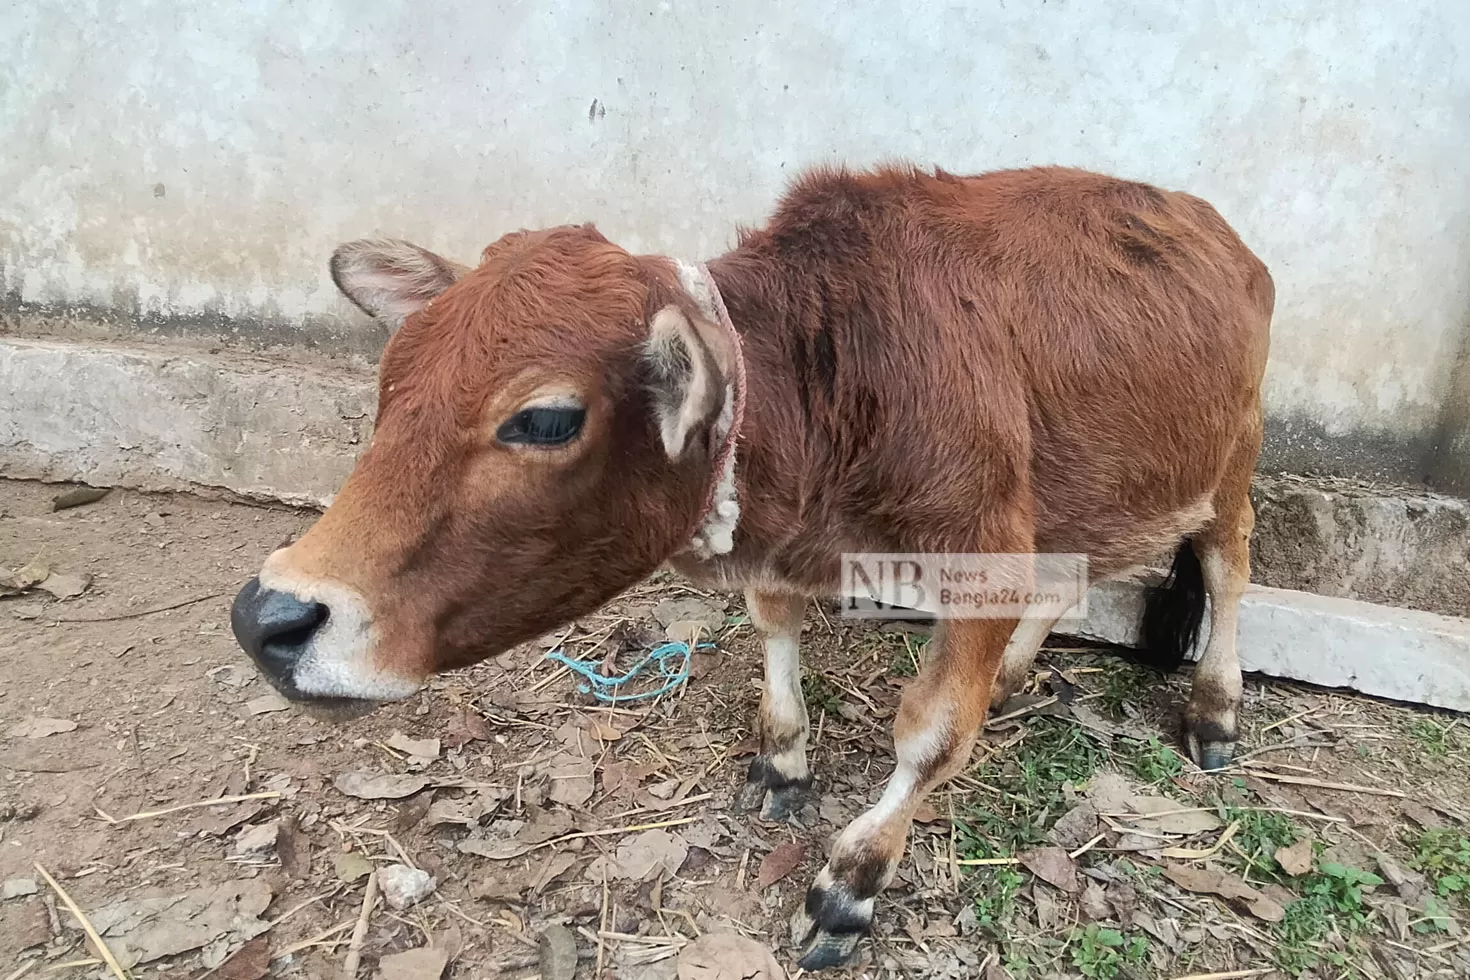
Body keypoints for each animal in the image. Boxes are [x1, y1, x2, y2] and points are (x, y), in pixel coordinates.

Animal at [232, 164, 1275, 969]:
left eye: (545, 419)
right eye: (392, 380)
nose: (267, 618)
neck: (838, 369)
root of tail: (1215, 225)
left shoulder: (985, 554)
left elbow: (931, 734)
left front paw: (852, 882)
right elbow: (776, 626)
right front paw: (784, 759)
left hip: (1230, 462)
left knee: (1228, 566)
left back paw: (1213, 708)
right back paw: (1020, 673)